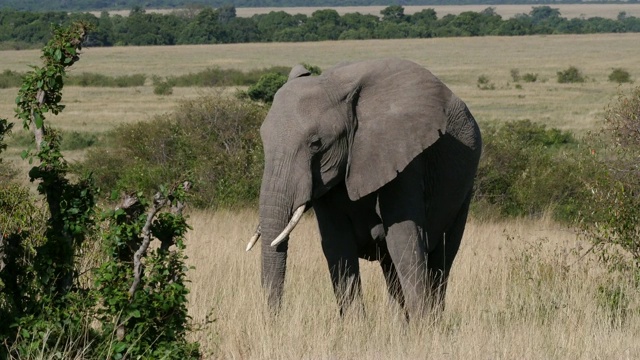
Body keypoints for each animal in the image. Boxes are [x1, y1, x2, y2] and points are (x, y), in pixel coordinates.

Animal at [248, 57, 482, 320]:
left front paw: (422, 327)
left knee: (441, 260)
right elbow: (337, 245)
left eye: (316, 144)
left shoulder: (404, 158)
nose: (275, 319)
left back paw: (431, 319)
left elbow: (405, 240)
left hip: (464, 189)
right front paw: (355, 326)